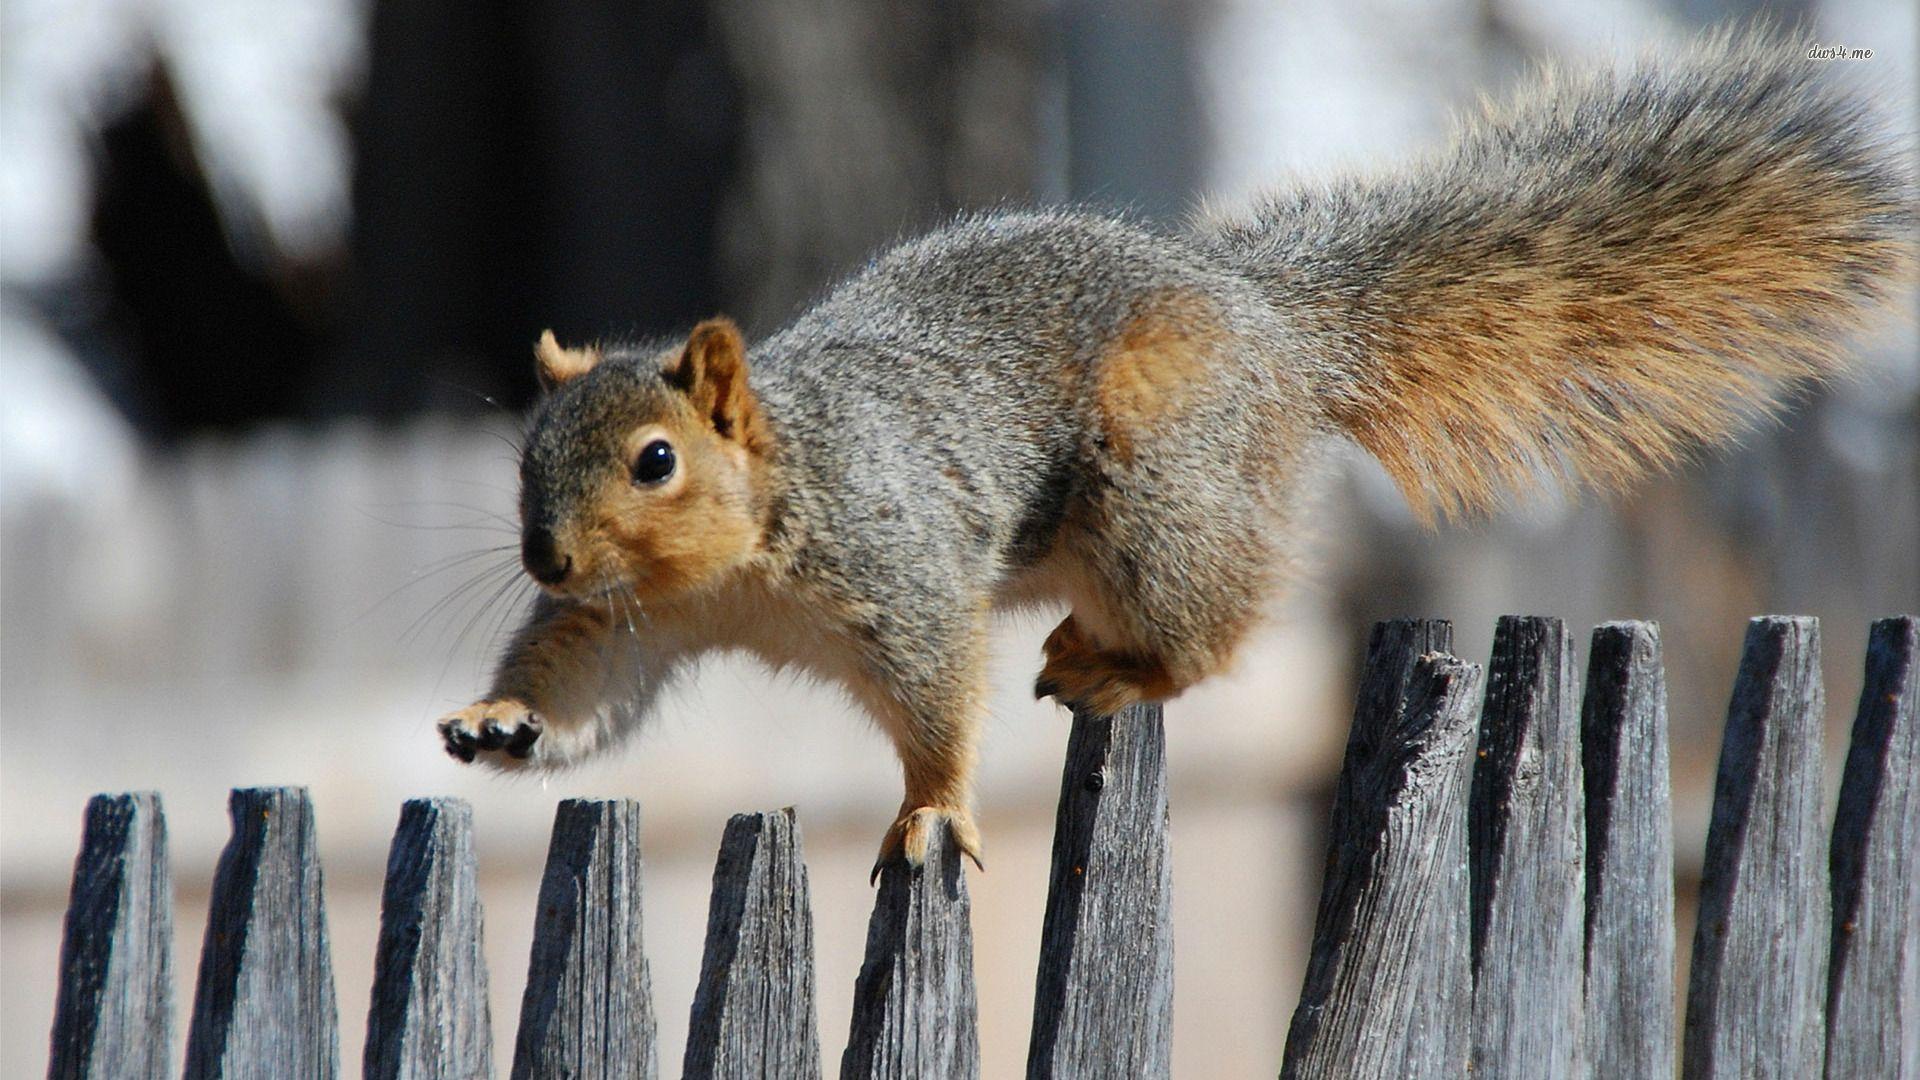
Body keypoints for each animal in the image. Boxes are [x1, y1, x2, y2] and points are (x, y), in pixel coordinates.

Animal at [437, 31, 1913, 874]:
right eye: (525, 457)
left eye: (656, 461)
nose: (543, 554)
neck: (740, 557)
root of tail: (1275, 326)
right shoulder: (630, 623)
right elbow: (588, 686)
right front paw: (501, 719)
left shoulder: (902, 570)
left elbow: (937, 702)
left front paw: (933, 812)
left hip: (1158, 487)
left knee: (1218, 629)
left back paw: (1123, 665)